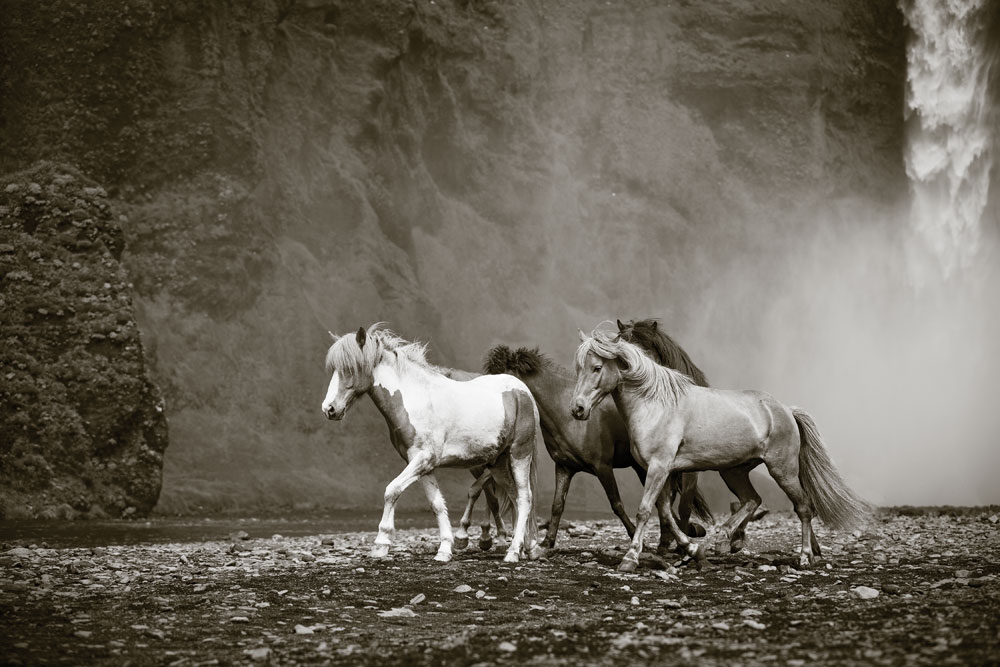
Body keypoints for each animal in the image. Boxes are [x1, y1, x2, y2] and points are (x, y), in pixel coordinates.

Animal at [322, 324, 544, 564]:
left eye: (349, 368)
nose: (329, 409)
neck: (417, 399)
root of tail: (523, 391)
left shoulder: (423, 459)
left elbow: (391, 490)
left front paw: (381, 543)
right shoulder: (421, 464)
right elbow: (436, 504)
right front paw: (445, 549)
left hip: (519, 455)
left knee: (525, 498)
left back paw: (513, 552)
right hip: (499, 464)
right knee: (514, 497)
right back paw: (528, 547)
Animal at [482, 342, 712, 552]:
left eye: (501, 380)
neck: (566, 416)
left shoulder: (603, 467)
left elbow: (616, 504)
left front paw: (636, 537)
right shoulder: (564, 467)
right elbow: (557, 505)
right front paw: (548, 542)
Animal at [572, 326, 868, 572]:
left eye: (597, 367)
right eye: (578, 369)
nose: (577, 409)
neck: (655, 404)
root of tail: (786, 410)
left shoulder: (659, 467)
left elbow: (646, 510)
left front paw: (630, 558)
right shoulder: (660, 471)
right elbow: (665, 514)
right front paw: (692, 549)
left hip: (782, 470)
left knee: (803, 507)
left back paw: (804, 557)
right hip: (734, 471)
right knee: (752, 500)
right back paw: (724, 537)